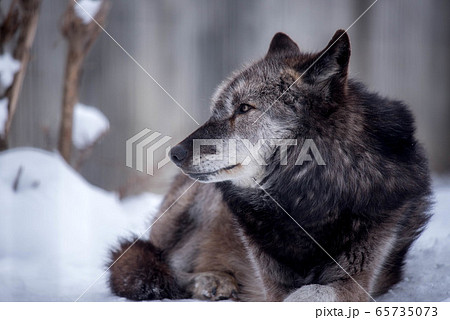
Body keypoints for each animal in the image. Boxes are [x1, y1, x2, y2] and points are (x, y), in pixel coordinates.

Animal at [109, 29, 432, 300]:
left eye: (244, 108)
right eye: (215, 111)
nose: (174, 153)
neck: (305, 202)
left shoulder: (356, 280)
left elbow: (312, 292)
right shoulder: (270, 281)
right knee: (159, 265)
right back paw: (212, 281)